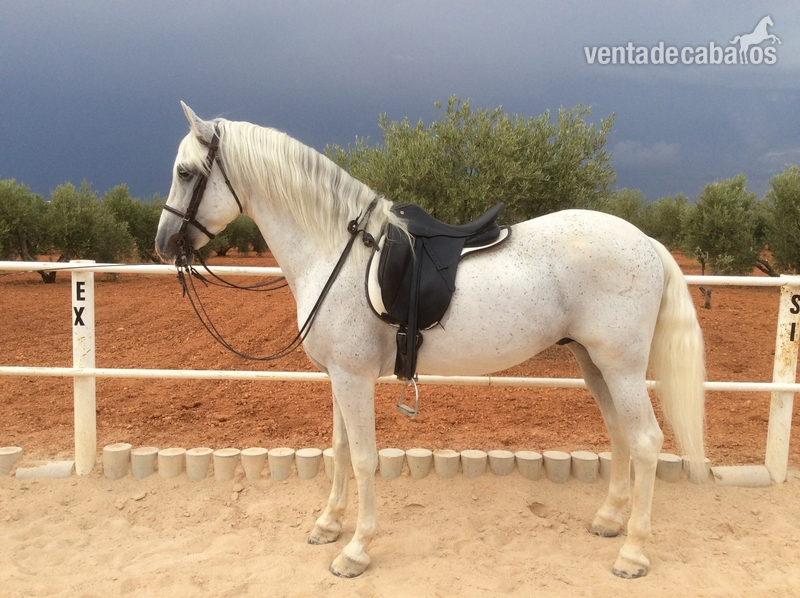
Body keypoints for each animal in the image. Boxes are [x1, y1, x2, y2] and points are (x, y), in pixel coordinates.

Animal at [155, 103, 706, 580]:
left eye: (185, 172)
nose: (163, 244)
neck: (337, 251)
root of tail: (645, 242)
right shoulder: (338, 376)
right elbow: (339, 449)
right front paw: (328, 525)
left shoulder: (353, 378)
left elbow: (363, 458)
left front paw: (356, 550)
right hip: (594, 363)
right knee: (619, 434)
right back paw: (609, 520)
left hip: (622, 367)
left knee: (646, 441)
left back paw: (632, 553)